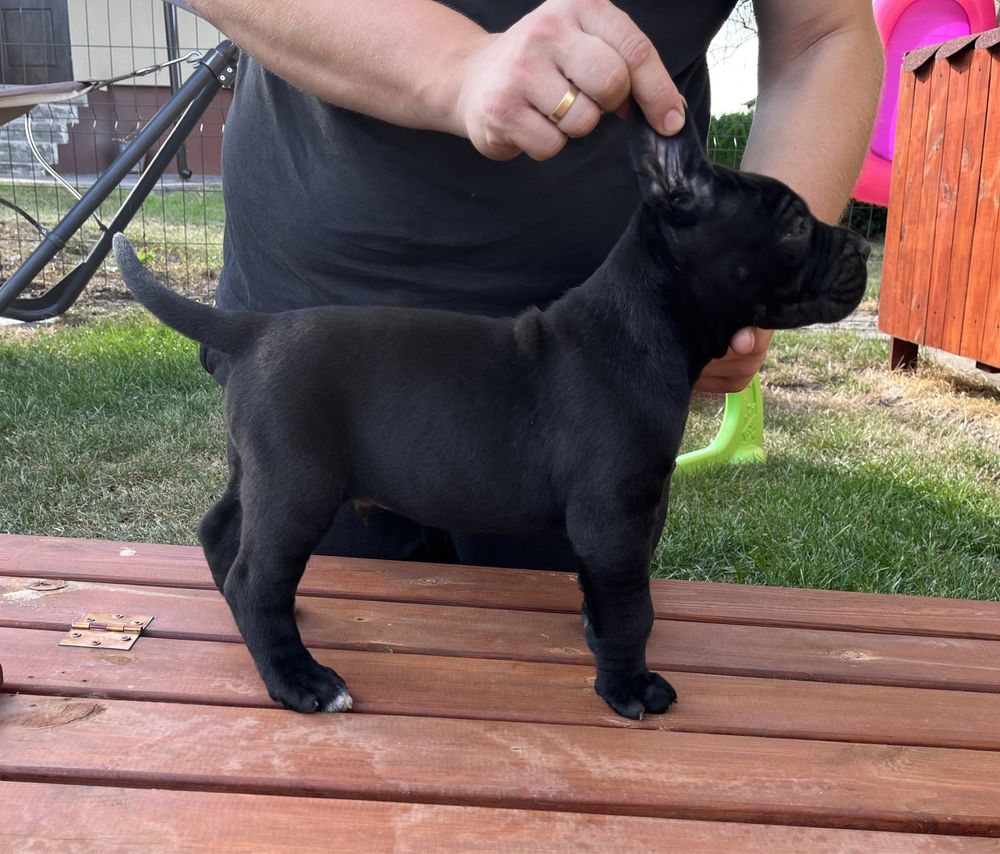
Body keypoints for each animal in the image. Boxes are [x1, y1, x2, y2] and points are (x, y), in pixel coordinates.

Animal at [113, 107, 868, 724]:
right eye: (796, 226)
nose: (862, 248)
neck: (642, 325)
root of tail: (253, 328)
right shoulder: (615, 513)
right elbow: (633, 606)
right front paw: (627, 686)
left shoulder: (616, 521)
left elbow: (609, 594)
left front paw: (597, 636)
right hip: (301, 483)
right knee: (255, 573)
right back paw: (299, 680)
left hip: (262, 469)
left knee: (223, 534)